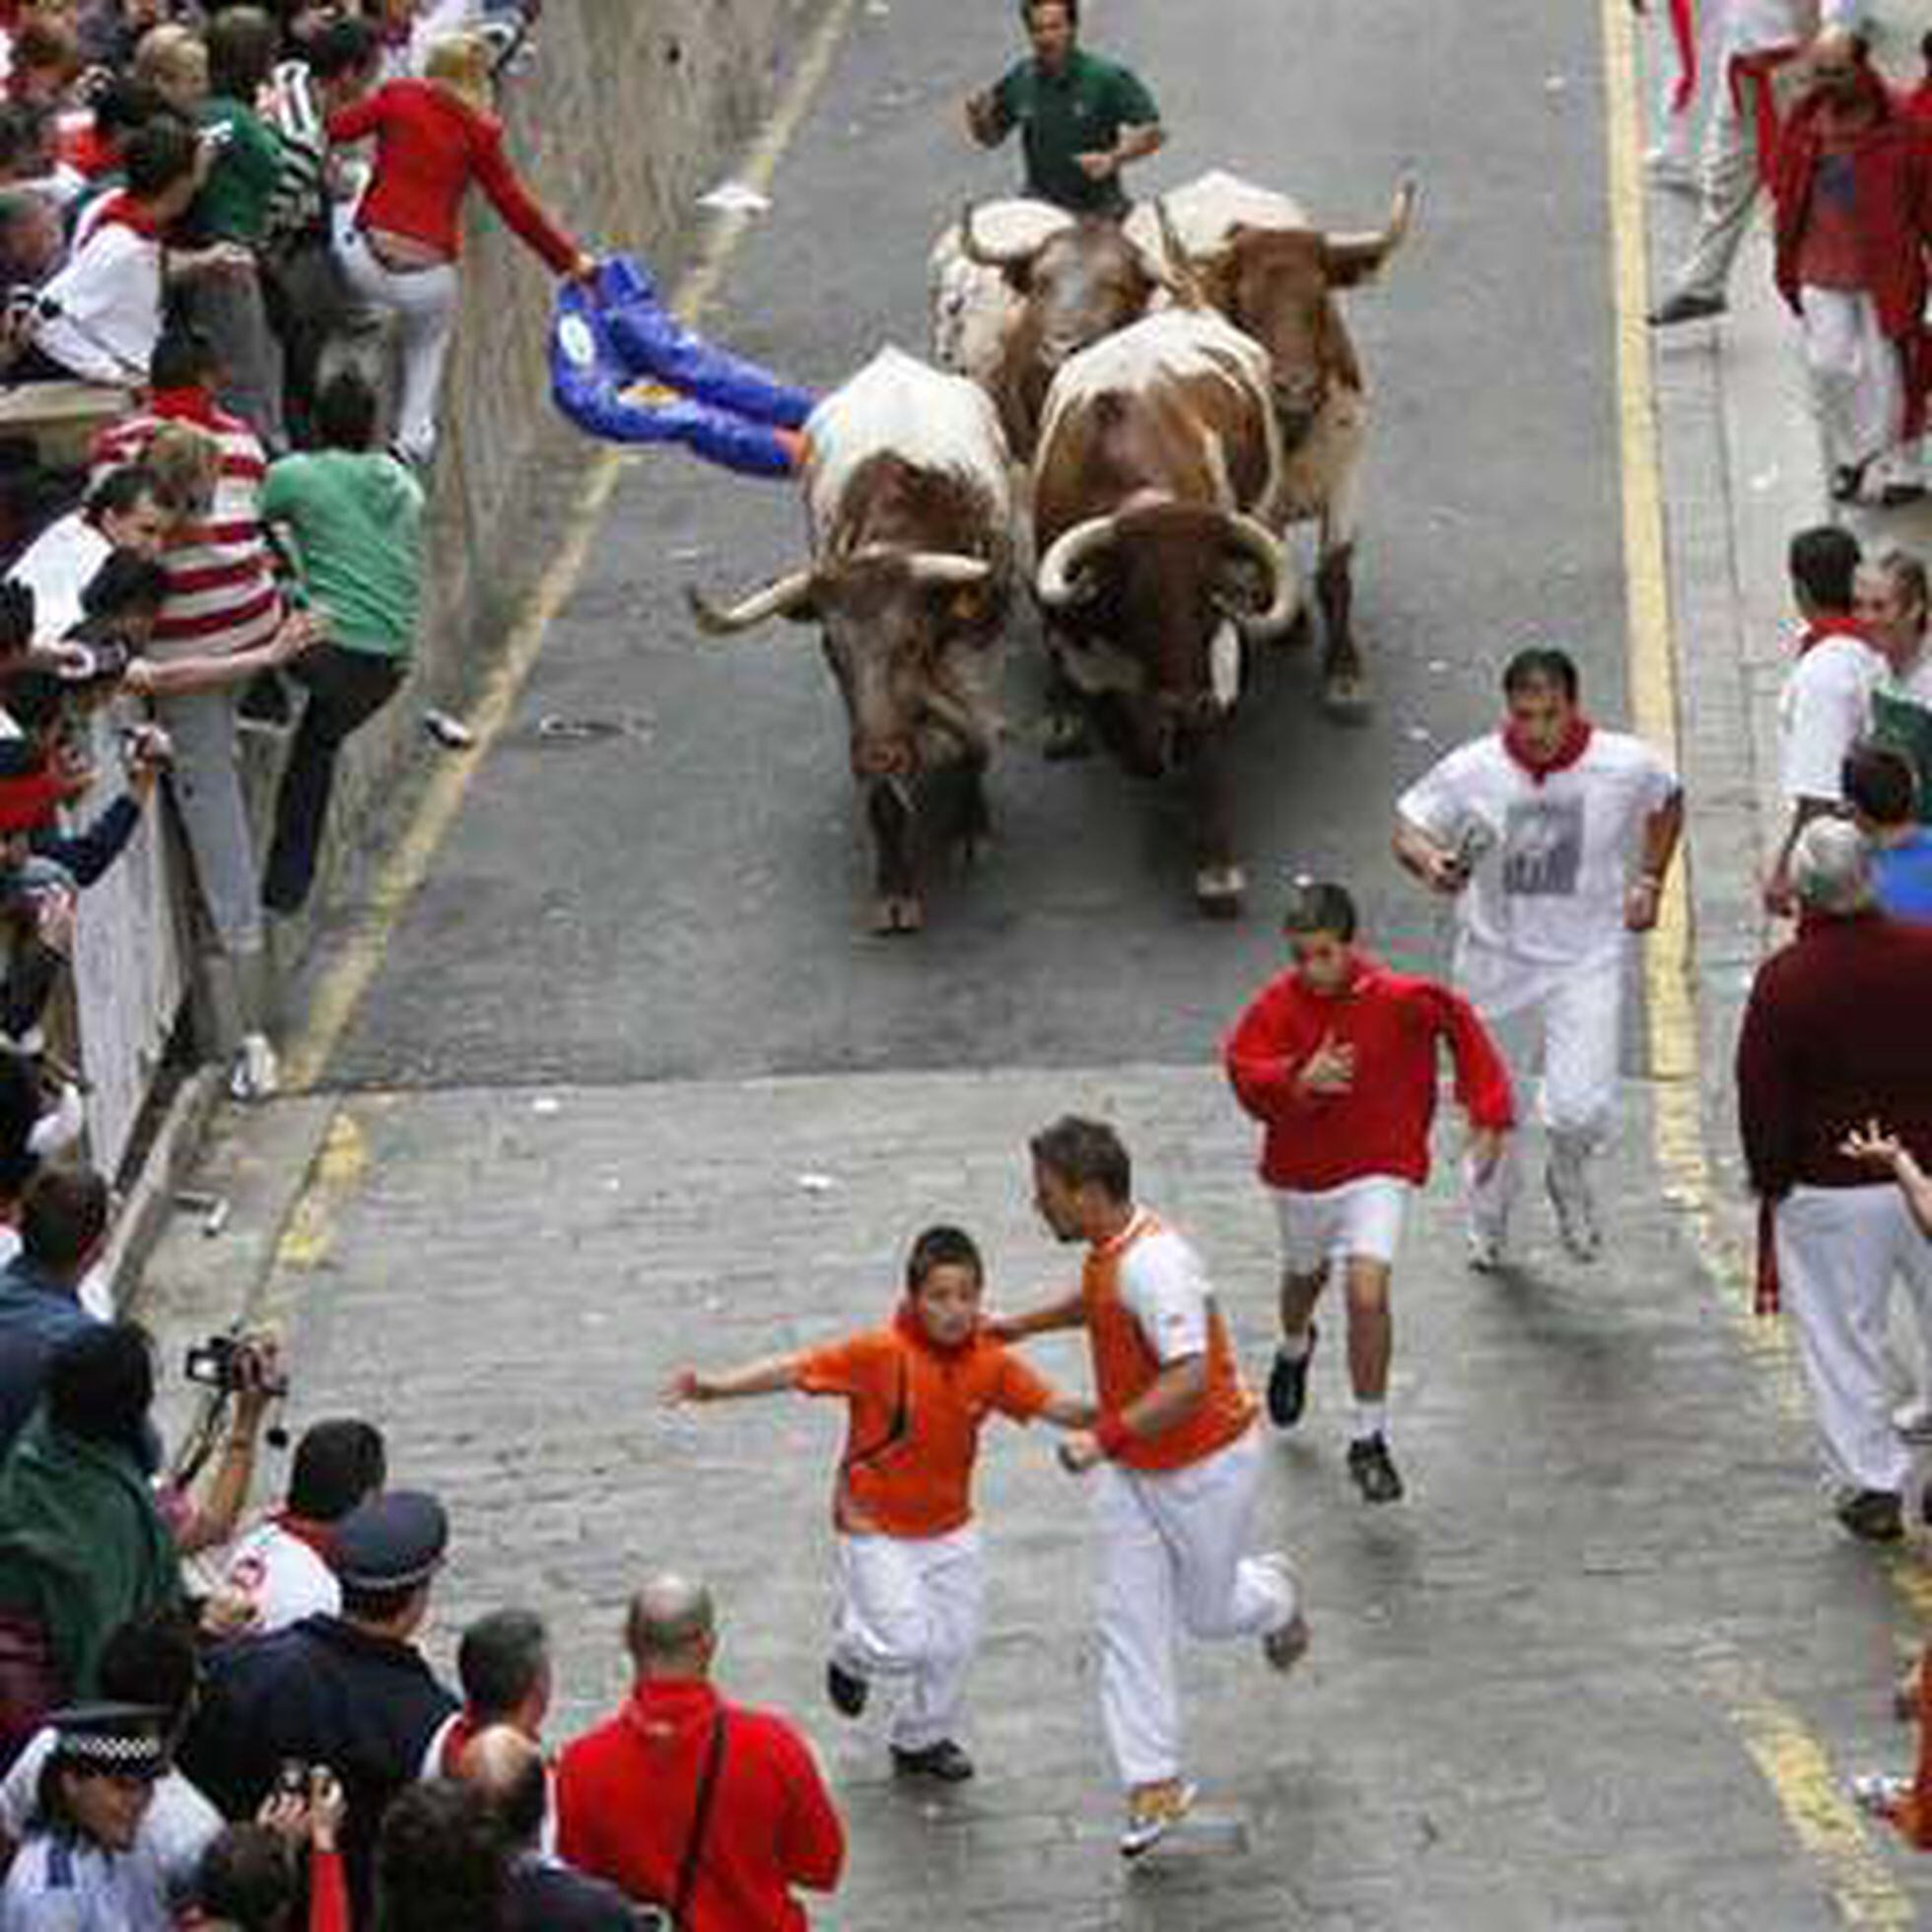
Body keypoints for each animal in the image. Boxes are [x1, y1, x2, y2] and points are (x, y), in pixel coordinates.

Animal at [687, 347, 1012, 934]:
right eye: (831, 653)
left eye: (912, 644)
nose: (879, 757)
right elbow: (885, 802)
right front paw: (894, 889)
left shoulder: (977, 660)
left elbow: (976, 739)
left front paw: (970, 827)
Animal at [1027, 307, 1298, 919]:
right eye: (1137, 599)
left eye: (1212, 595)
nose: (1184, 701)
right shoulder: (1083, 656)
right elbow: (1128, 741)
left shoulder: (1215, 658)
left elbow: (1200, 747)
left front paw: (1217, 869)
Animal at [1120, 172, 1421, 719]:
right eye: (1245, 301)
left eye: (1321, 299)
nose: (1294, 386)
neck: (1296, 430)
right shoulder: (1259, 502)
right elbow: (1270, 553)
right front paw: (1289, 624)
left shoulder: (1347, 473)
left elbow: (1335, 570)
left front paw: (1345, 674)